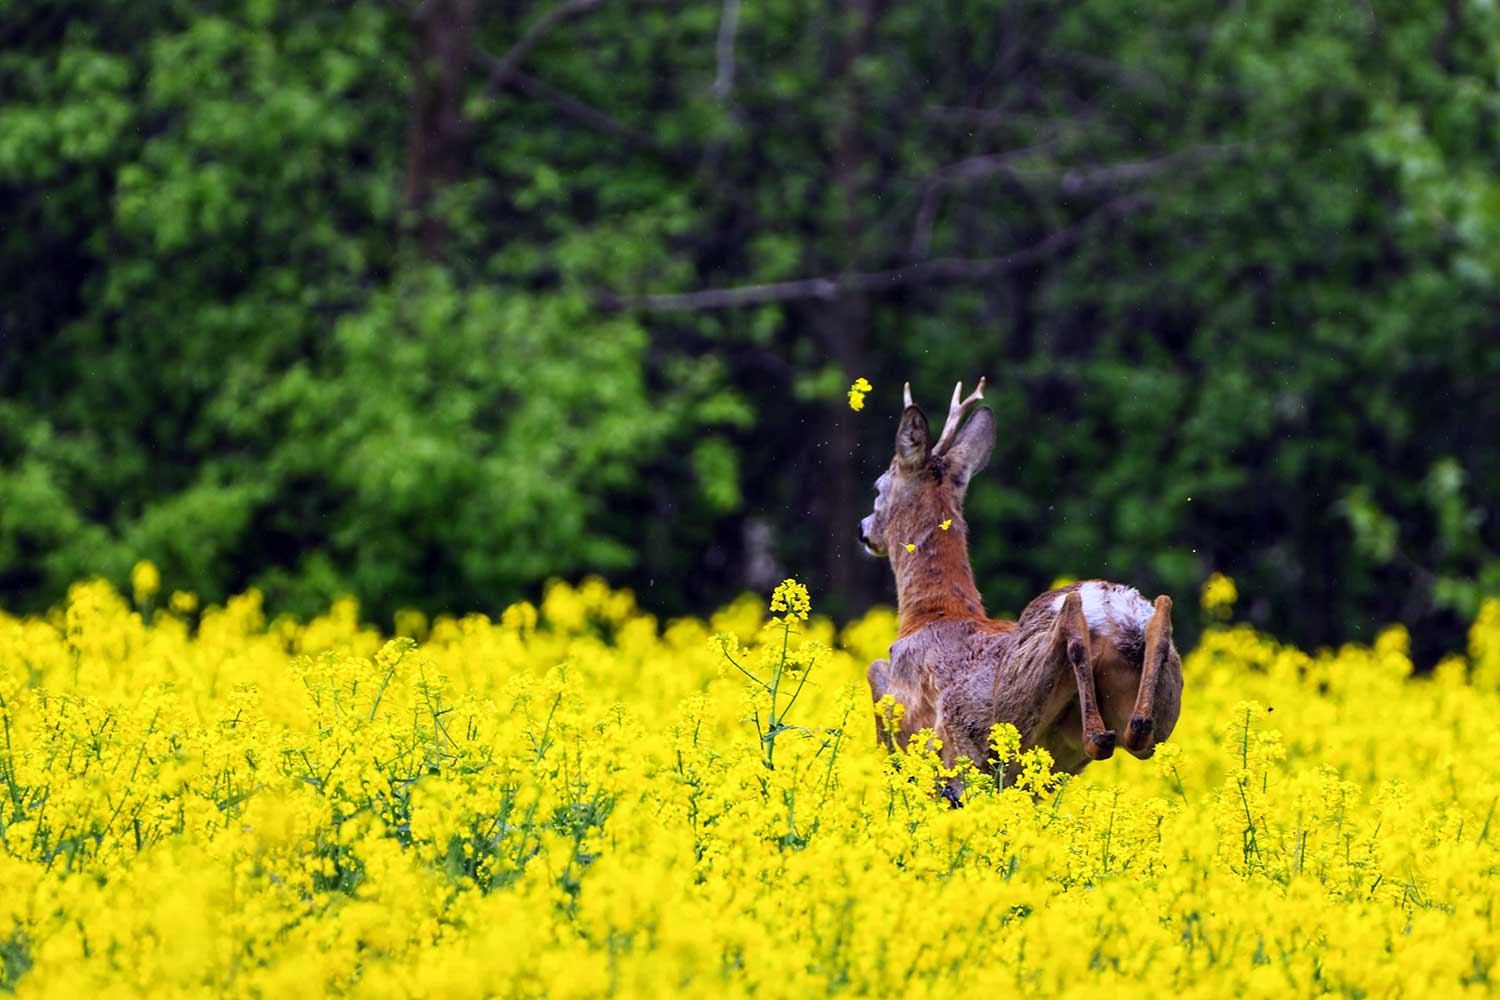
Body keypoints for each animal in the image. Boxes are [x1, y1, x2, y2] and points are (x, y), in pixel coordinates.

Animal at [864, 377, 1176, 791]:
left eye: (878, 487)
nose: (864, 530)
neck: (931, 612)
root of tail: (1114, 612)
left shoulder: (911, 713)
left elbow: (874, 674)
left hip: (1008, 708)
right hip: (1156, 705)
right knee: (1140, 733)